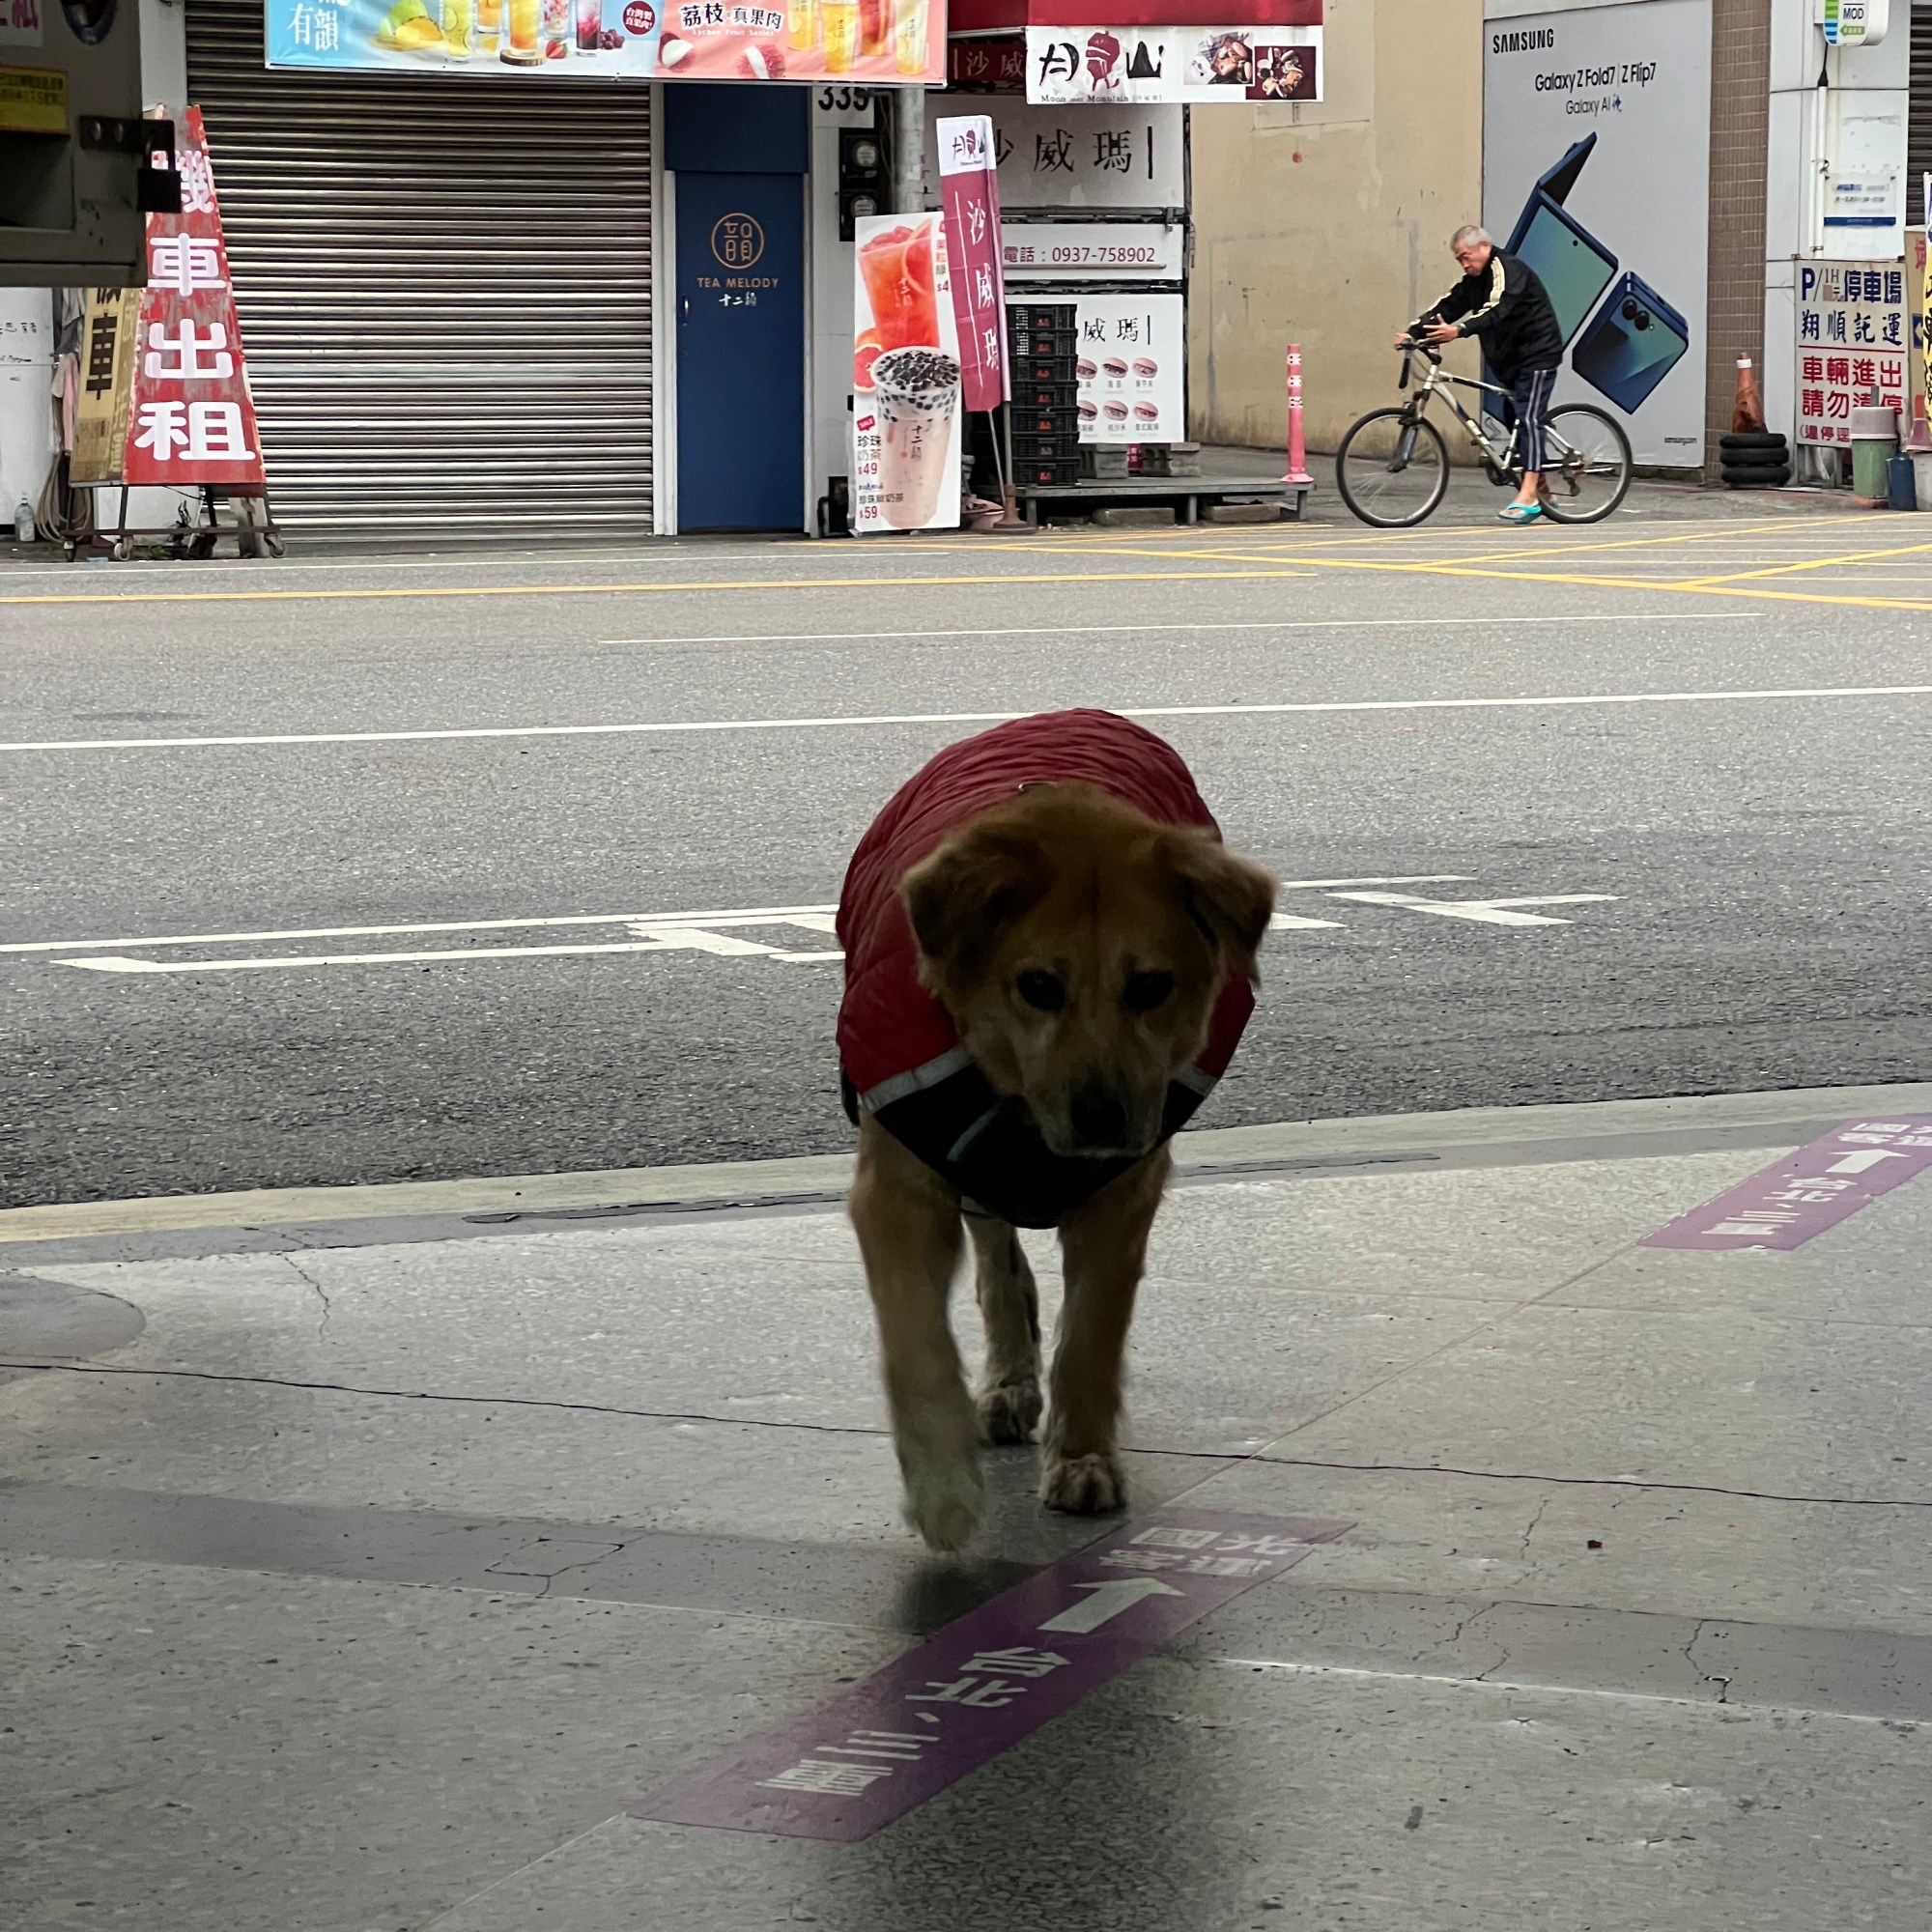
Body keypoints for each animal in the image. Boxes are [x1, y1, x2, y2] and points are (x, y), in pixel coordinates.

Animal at [836, 710, 1277, 1551]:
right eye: (1038, 986)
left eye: (1151, 986)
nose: (1102, 1115)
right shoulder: (902, 1180)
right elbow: (916, 1341)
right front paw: (943, 1491)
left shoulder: (1124, 1188)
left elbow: (1091, 1337)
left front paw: (1080, 1457)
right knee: (996, 1261)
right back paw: (1007, 1379)